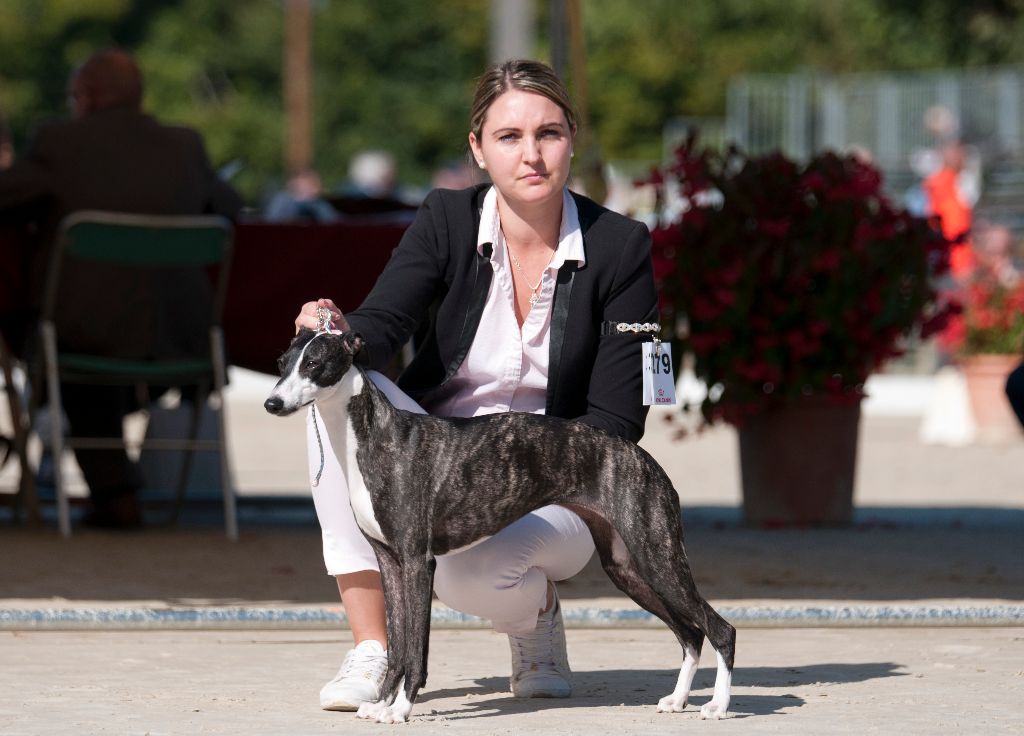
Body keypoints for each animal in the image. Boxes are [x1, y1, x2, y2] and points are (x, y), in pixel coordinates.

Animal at [264, 328, 735, 724]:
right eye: (283, 363)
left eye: (315, 364)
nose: (272, 404)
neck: (373, 438)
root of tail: (647, 461)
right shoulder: (390, 563)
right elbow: (397, 646)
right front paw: (380, 705)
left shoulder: (418, 563)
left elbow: (416, 648)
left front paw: (400, 709)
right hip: (628, 568)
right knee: (691, 633)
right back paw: (678, 700)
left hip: (658, 556)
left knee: (719, 629)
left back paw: (716, 705)